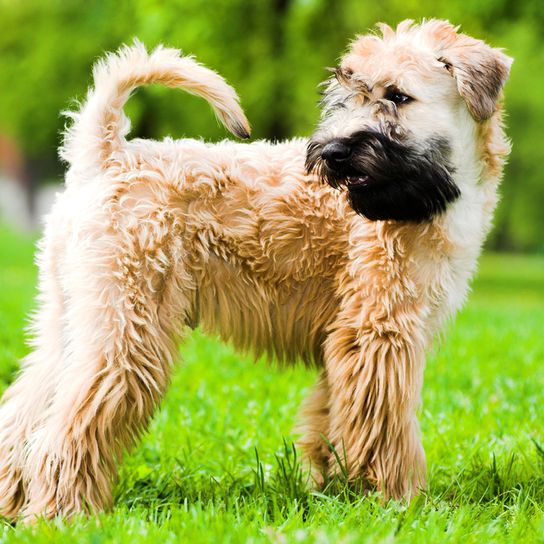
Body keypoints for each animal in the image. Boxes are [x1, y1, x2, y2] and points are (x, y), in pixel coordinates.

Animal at [0, 19, 512, 520]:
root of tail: (107, 155)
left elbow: (333, 419)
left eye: (399, 96)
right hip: (128, 332)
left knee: (25, 414)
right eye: (348, 93)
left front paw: (335, 490)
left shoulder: (345, 341)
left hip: (73, 321)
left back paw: (16, 503)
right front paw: (399, 501)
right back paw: (64, 512)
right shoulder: (379, 334)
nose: (333, 153)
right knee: (66, 428)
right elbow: (386, 427)